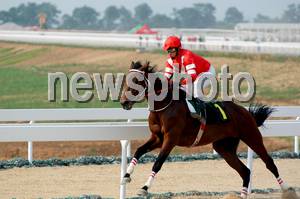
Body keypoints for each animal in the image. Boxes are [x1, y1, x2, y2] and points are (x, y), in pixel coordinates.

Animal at [119, 61, 290, 198]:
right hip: (224, 148)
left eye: (136, 81)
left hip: (252, 136)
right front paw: (126, 176)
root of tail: (245, 112)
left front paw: (144, 188)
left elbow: (158, 163)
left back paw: (287, 189)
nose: (123, 102)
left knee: (269, 163)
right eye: (126, 80)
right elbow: (139, 151)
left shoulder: (171, 138)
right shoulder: (158, 138)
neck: (164, 108)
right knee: (245, 171)